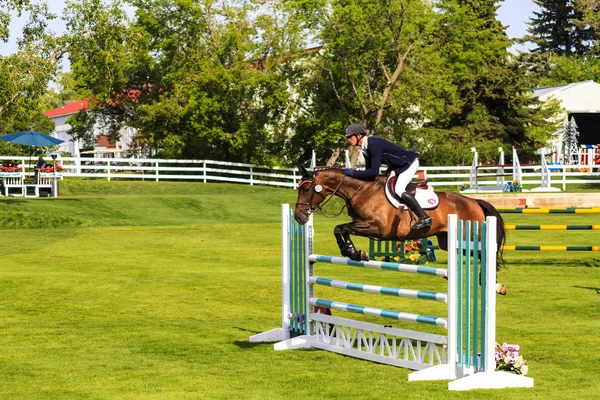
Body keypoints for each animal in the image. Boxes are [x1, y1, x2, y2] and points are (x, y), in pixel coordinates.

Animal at [294, 165, 506, 294]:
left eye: (306, 189)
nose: (298, 217)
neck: (363, 190)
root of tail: (475, 201)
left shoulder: (376, 227)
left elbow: (340, 228)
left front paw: (354, 251)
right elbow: (341, 229)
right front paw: (353, 252)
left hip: (468, 237)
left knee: (487, 254)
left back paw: (496, 285)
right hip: (449, 242)